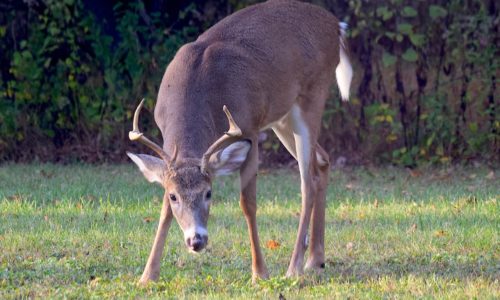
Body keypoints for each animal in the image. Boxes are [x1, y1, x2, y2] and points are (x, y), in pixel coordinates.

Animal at [127, 0, 354, 284]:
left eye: (209, 193)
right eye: (173, 196)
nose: (196, 241)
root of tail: (336, 26)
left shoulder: (250, 128)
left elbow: (248, 203)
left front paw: (260, 273)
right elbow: (164, 211)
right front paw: (148, 275)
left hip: (312, 96)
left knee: (307, 182)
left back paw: (294, 267)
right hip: (282, 117)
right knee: (322, 161)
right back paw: (315, 259)